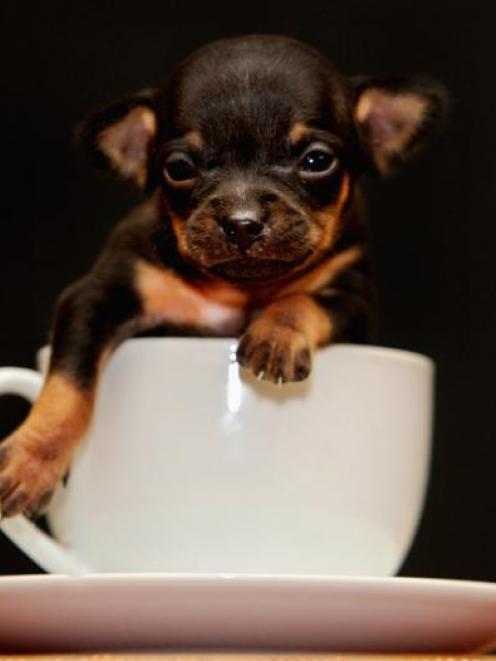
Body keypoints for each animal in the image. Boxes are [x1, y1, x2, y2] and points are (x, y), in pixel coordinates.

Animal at [0, 36, 448, 520]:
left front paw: (274, 336)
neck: (241, 289)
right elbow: (69, 383)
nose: (242, 222)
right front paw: (30, 458)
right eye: (179, 169)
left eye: (317, 161)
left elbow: (300, 301)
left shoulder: (352, 296)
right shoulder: (95, 298)